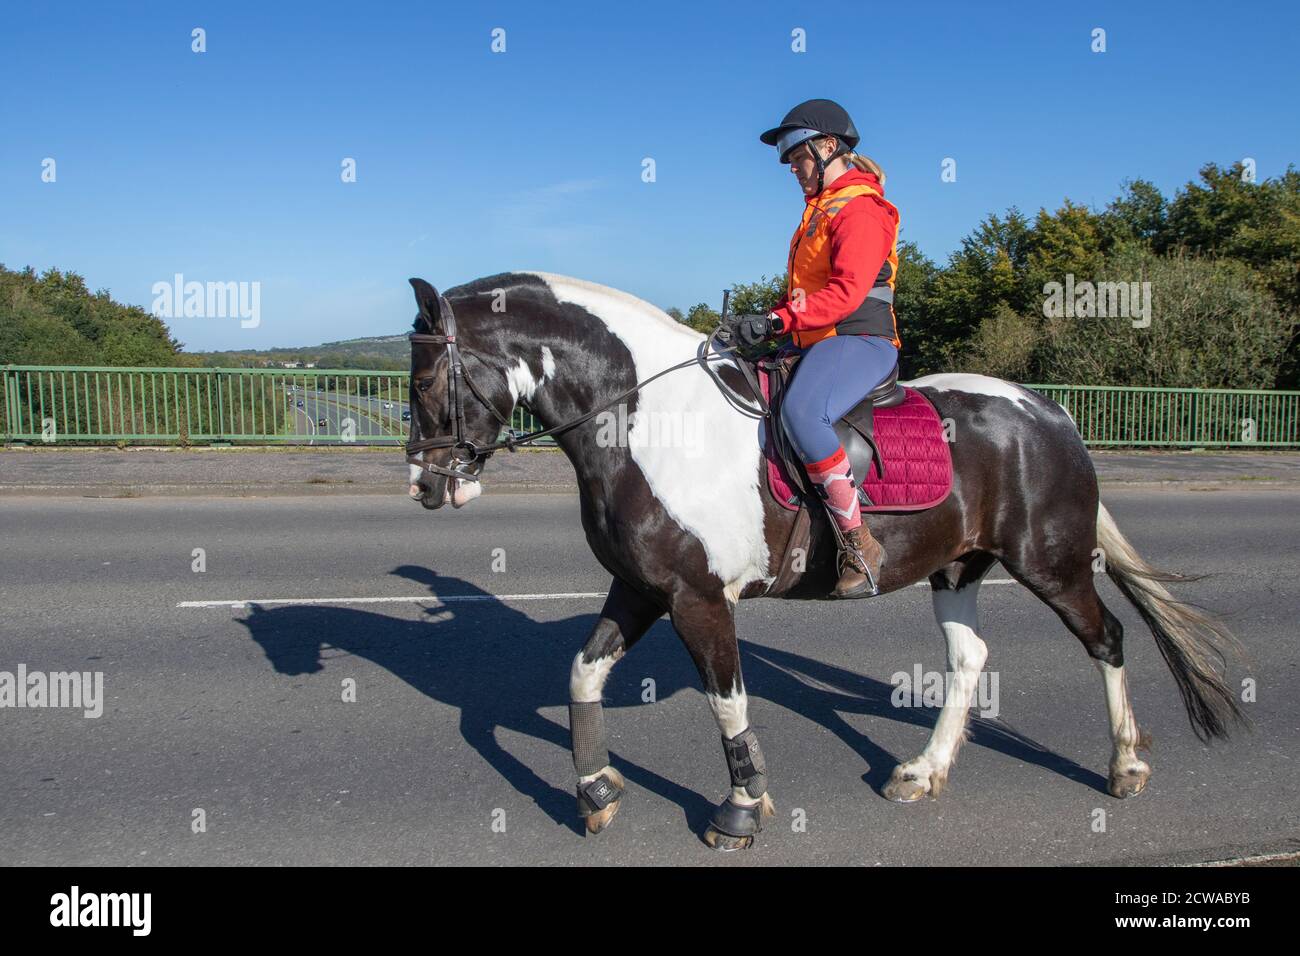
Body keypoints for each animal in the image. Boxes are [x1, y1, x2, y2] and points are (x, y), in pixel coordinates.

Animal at [405, 269, 1248, 853]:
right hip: (957, 568)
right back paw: (923, 771)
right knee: (969, 658)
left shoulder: (697, 597)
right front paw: (595, 791)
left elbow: (728, 703)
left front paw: (740, 810)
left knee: (1107, 639)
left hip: (1052, 563)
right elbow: (583, 675)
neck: (647, 419)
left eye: (427, 379)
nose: (423, 484)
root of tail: (1049, 412)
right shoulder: (641, 589)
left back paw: (1125, 766)